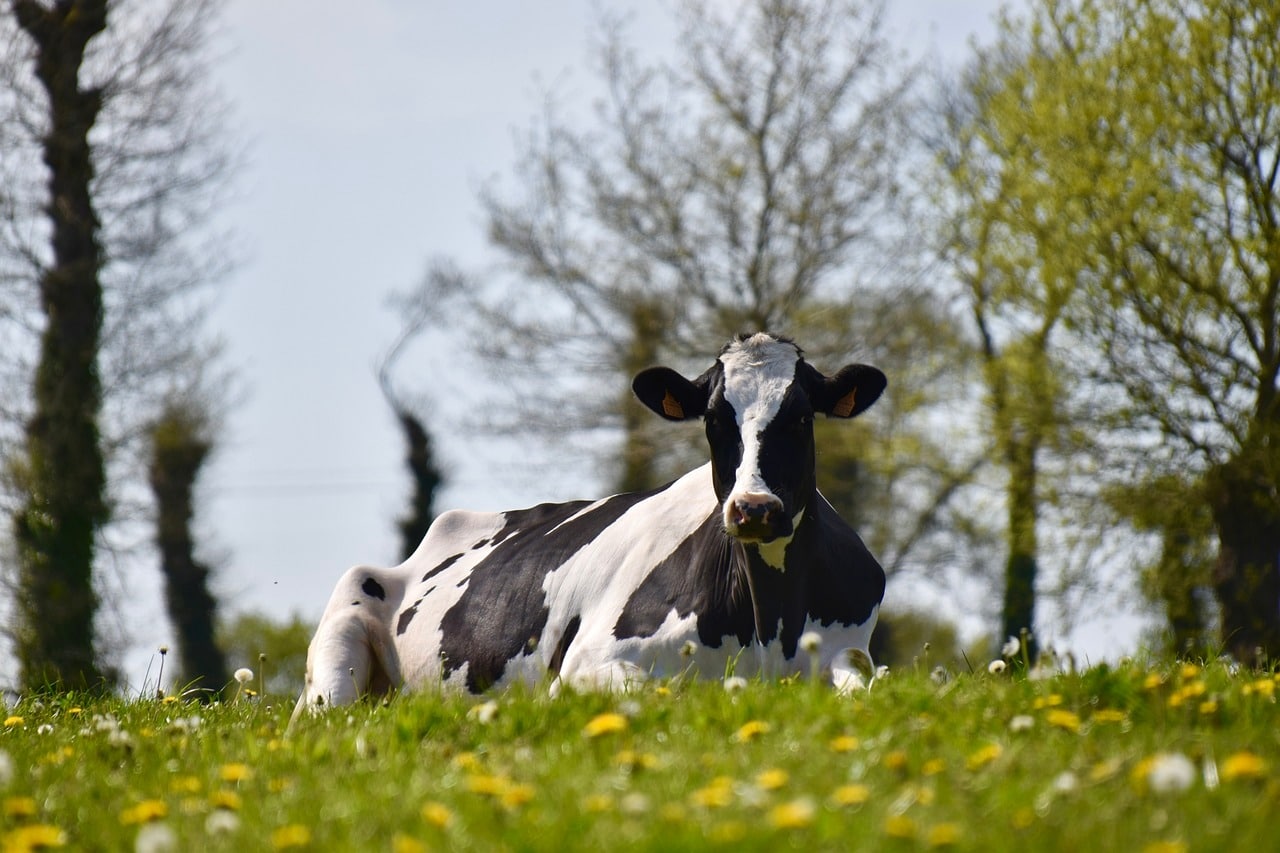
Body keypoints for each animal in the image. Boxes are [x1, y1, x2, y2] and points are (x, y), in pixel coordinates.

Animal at [293, 333, 886, 719]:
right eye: (716, 420)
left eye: (802, 417)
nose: (754, 508)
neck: (769, 622)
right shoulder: (588, 664)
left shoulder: (850, 649)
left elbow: (865, 683)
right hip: (337, 647)